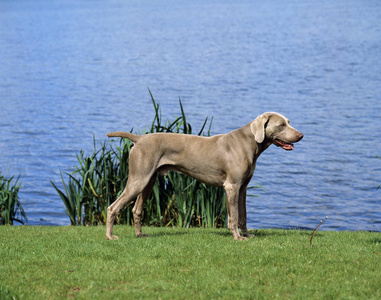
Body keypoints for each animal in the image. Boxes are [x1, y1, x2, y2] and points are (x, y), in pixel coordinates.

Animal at [105, 111, 302, 240]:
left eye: (289, 122)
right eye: (281, 125)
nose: (301, 135)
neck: (249, 142)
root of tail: (138, 138)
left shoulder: (243, 187)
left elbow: (243, 215)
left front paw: (247, 235)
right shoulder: (232, 186)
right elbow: (234, 216)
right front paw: (238, 237)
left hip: (148, 180)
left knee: (136, 209)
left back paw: (139, 234)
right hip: (139, 179)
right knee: (112, 207)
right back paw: (110, 236)